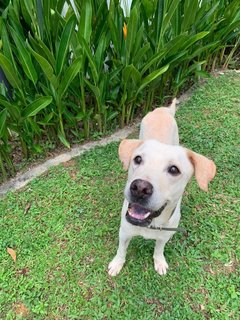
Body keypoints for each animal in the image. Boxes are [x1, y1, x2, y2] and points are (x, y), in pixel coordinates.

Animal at [108, 99, 217, 276]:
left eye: (174, 169)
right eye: (137, 159)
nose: (140, 188)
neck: (151, 223)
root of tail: (162, 110)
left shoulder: (165, 235)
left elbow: (159, 249)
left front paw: (159, 261)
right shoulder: (124, 231)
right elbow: (121, 250)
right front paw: (117, 263)